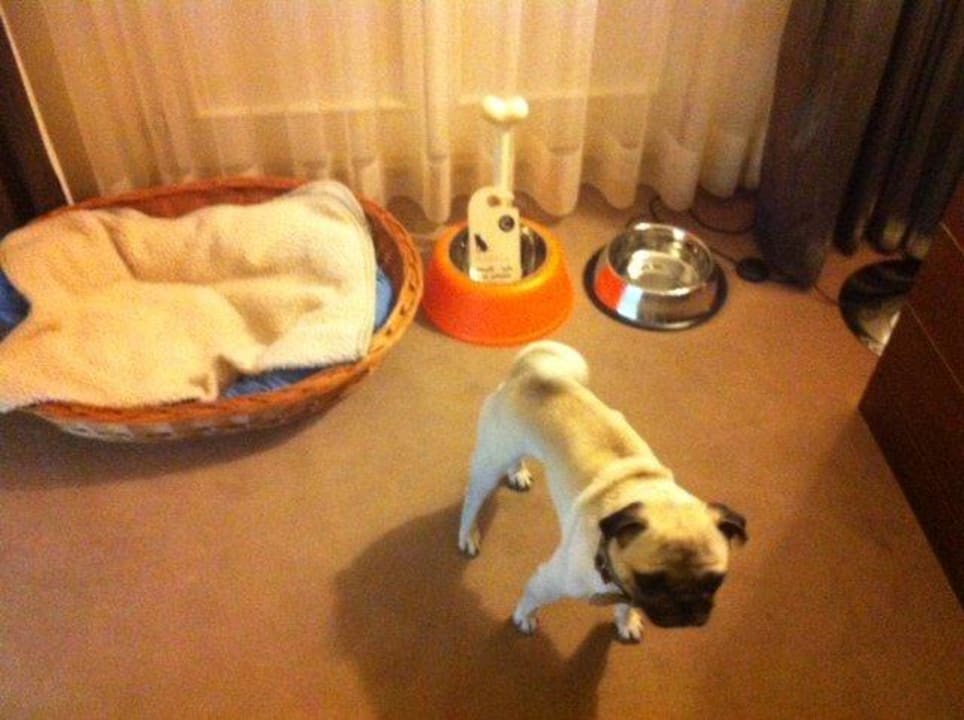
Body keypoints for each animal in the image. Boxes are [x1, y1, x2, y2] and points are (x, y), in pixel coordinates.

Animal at [457, 341, 746, 642]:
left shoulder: (627, 592)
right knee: (472, 501)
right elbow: (531, 596)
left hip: (514, 448)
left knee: (515, 459)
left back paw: (517, 472)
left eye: (715, 582)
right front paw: (525, 618)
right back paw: (468, 534)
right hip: (491, 464)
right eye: (652, 581)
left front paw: (626, 619)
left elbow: (626, 605)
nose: (687, 605)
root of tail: (530, 374)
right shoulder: (549, 581)